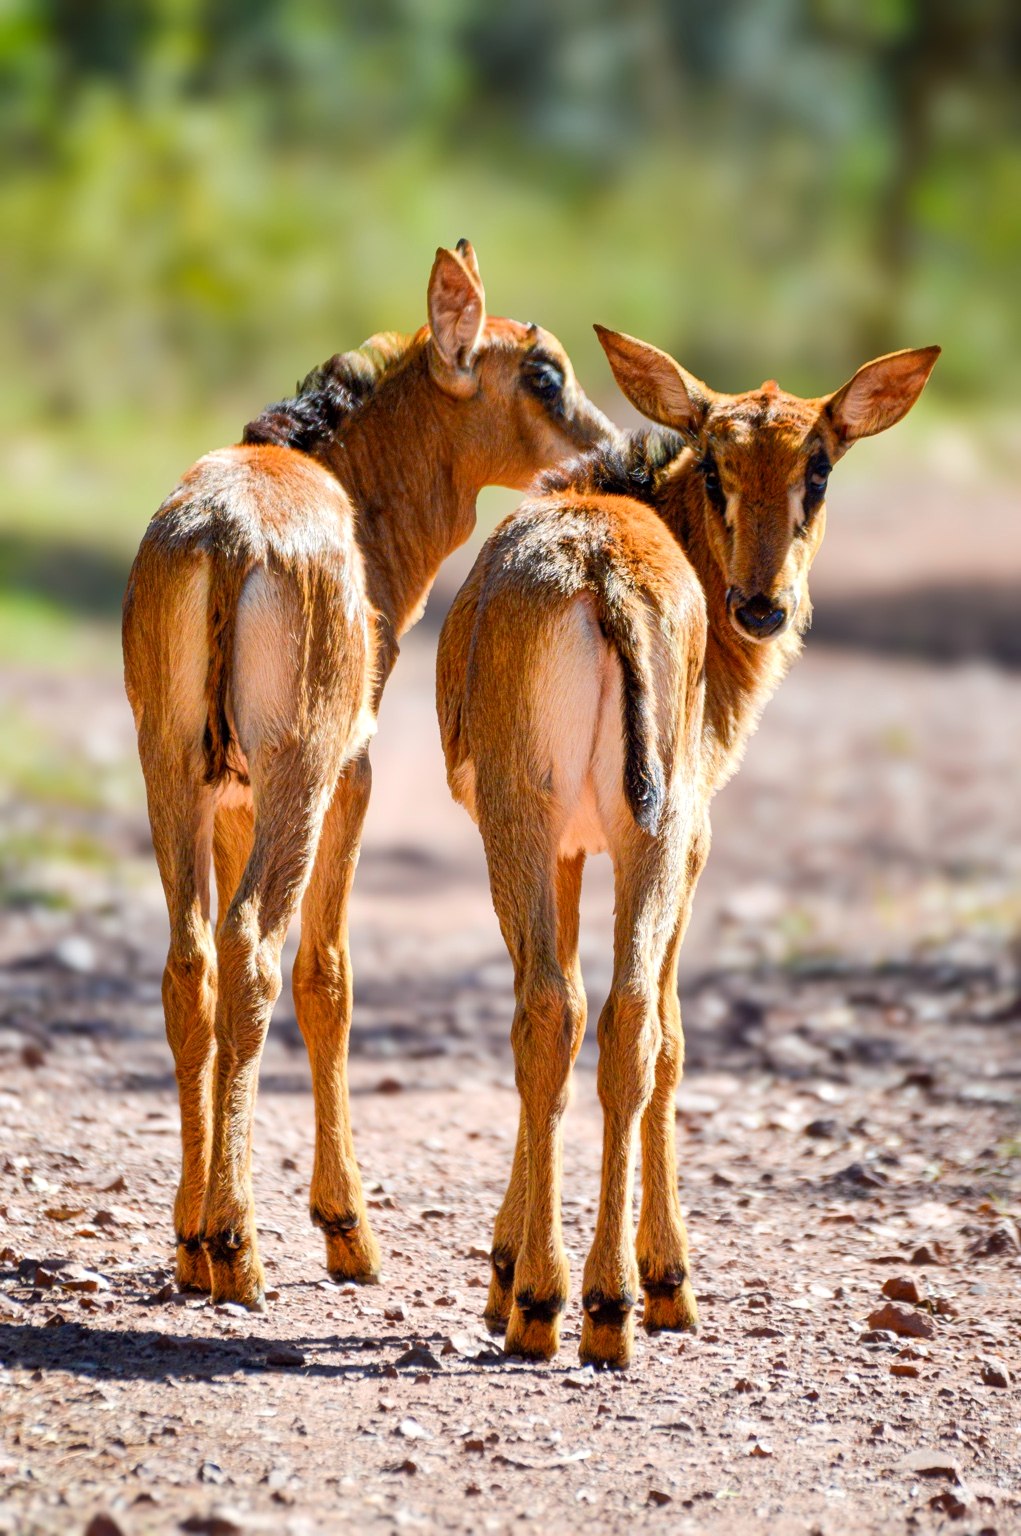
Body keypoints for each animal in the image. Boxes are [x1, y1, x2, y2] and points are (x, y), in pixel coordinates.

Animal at [122, 241, 612, 1311]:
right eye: (543, 371)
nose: (600, 452)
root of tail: (228, 535)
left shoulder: (234, 800)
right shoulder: (353, 775)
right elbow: (329, 975)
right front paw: (346, 1231)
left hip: (170, 769)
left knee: (191, 960)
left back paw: (194, 1241)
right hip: (303, 774)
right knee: (257, 953)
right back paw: (239, 1248)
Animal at [437, 328, 939, 1367]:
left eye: (818, 466)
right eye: (716, 463)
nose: (761, 607)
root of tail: (601, 574)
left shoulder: (596, 846)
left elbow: (616, 1024)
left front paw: (523, 1272)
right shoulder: (680, 839)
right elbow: (662, 1034)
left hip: (563, 827)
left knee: (573, 1012)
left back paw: (569, 1303)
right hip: (632, 834)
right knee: (605, 1018)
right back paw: (594, 1301)